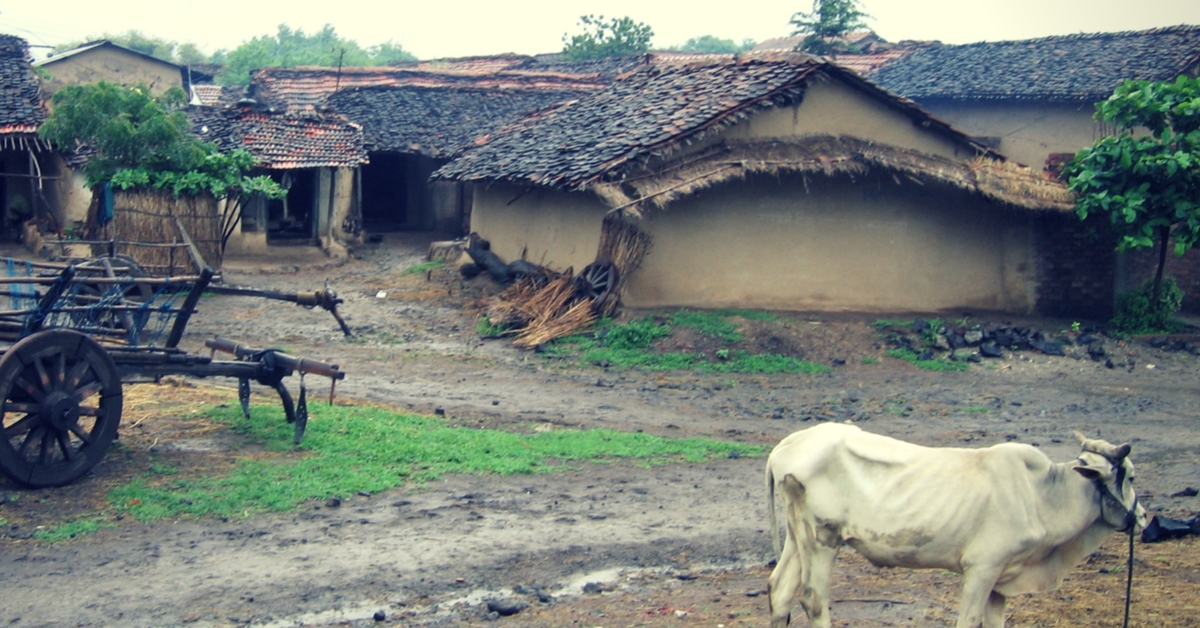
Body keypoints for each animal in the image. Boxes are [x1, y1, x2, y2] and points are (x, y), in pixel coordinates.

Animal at [768, 422, 1142, 628]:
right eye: (1132, 476)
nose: (1141, 518)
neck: (1042, 495)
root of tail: (786, 446)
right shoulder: (982, 568)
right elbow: (969, 620)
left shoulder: (1002, 577)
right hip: (821, 539)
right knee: (814, 600)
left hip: (797, 536)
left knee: (780, 590)